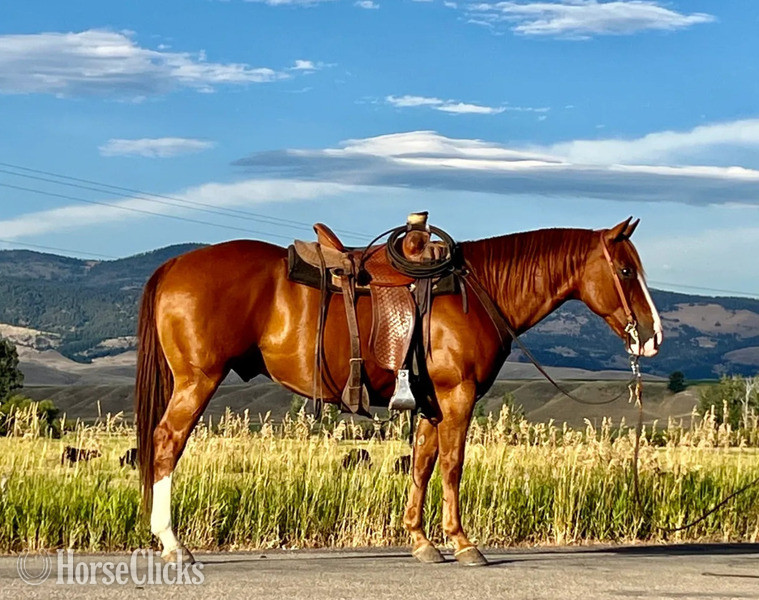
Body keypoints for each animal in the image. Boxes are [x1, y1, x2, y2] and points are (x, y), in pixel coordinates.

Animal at [134, 217, 662, 565]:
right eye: (627, 271)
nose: (653, 336)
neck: (476, 293)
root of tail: (174, 264)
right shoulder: (457, 395)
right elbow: (452, 465)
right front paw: (463, 543)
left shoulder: (431, 403)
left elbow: (423, 464)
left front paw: (421, 541)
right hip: (198, 379)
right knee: (165, 444)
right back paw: (173, 544)